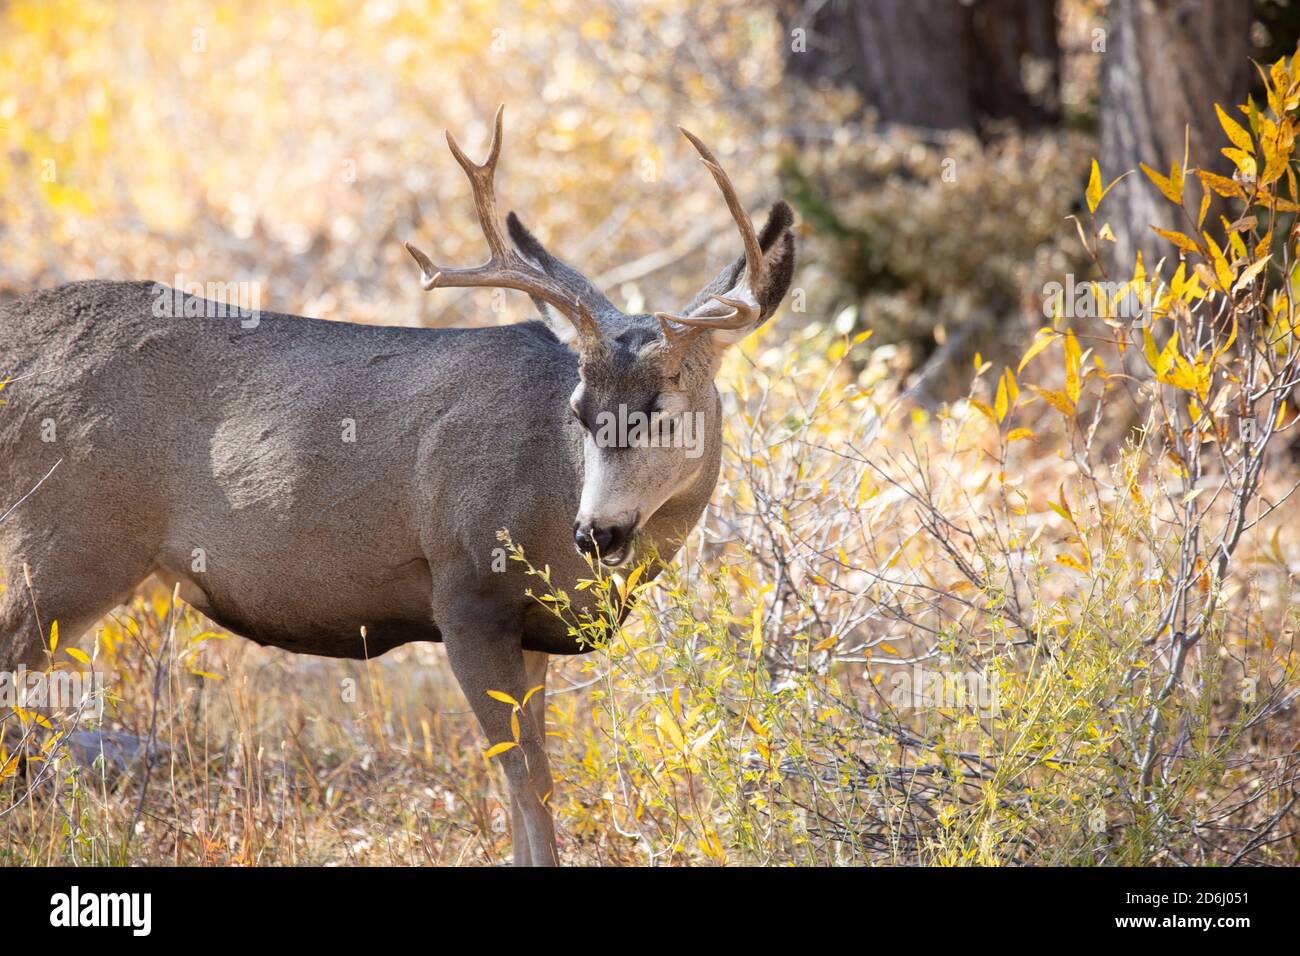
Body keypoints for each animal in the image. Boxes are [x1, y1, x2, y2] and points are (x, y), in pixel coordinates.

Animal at [0, 106, 796, 865]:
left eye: (664, 410)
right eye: (579, 409)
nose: (596, 531)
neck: (548, 495)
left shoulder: (534, 630)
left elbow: (529, 775)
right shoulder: (466, 589)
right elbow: (526, 776)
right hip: (66, 546)